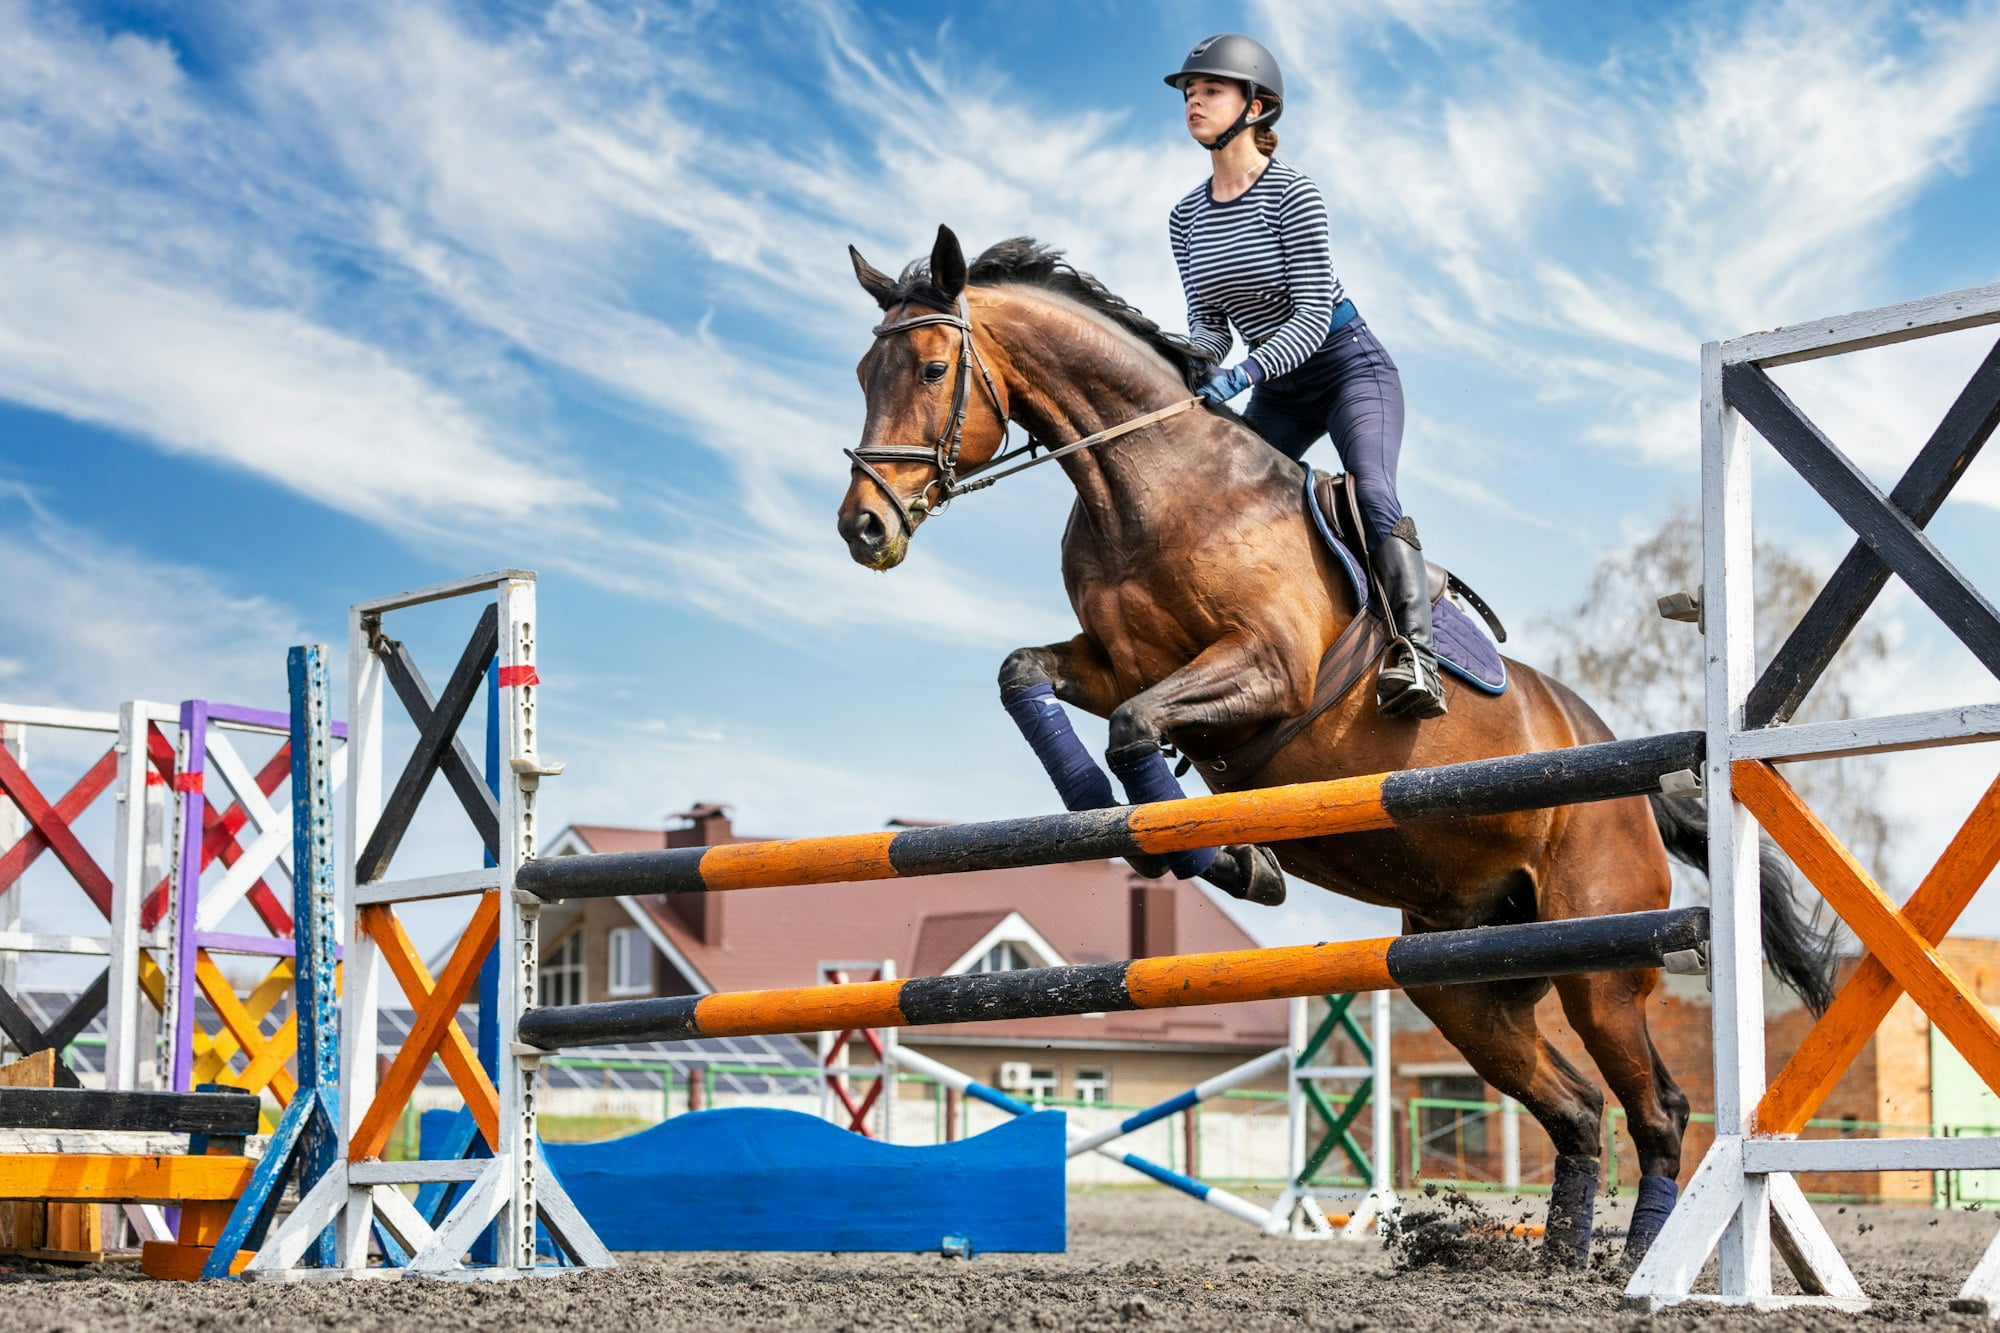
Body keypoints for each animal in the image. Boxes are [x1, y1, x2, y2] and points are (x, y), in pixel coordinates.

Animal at [828, 223, 1832, 1264]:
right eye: (863, 369)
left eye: (932, 366)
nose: (864, 525)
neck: (1146, 484)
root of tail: (1644, 791)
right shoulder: (1107, 662)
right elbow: (1026, 675)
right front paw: (1107, 813)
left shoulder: (1268, 671)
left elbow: (1136, 724)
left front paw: (1227, 858)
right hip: (1464, 980)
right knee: (1575, 1107)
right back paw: (1560, 1256)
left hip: (1602, 961)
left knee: (1658, 1107)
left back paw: (1639, 1260)